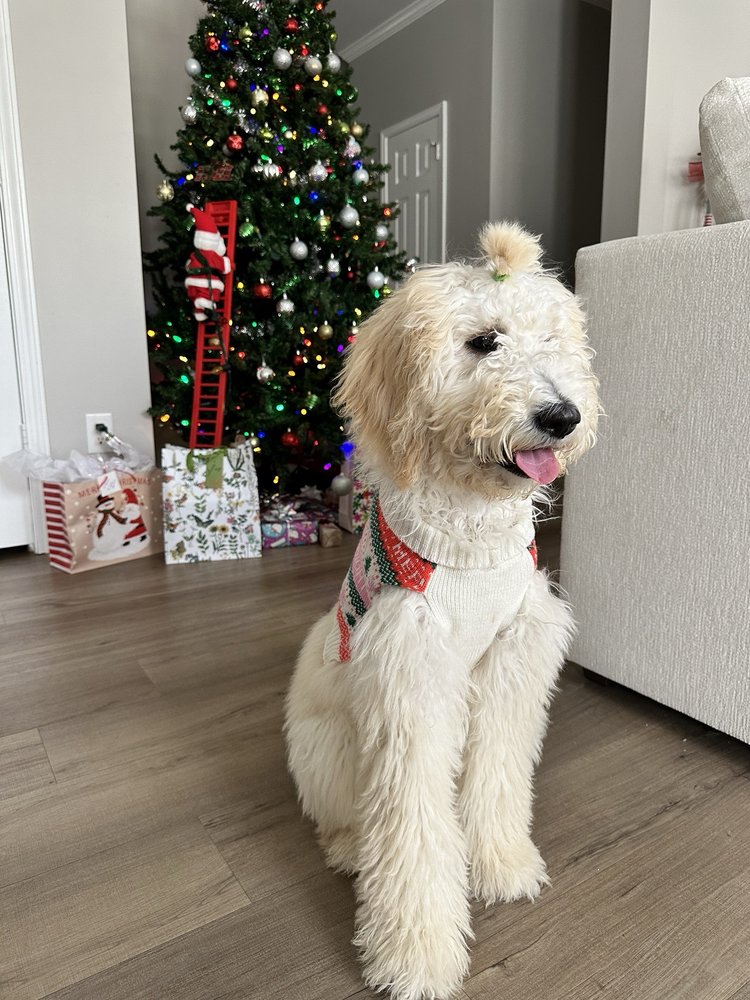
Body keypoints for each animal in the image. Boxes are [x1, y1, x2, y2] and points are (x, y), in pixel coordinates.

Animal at [285, 222, 599, 1000]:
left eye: (551, 340)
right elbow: (413, 828)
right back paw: (349, 848)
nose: (563, 416)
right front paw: (417, 955)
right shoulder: (411, 682)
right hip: (328, 749)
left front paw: (501, 864)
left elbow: (498, 774)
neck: (469, 535)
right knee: (347, 818)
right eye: (484, 341)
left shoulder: (514, 657)